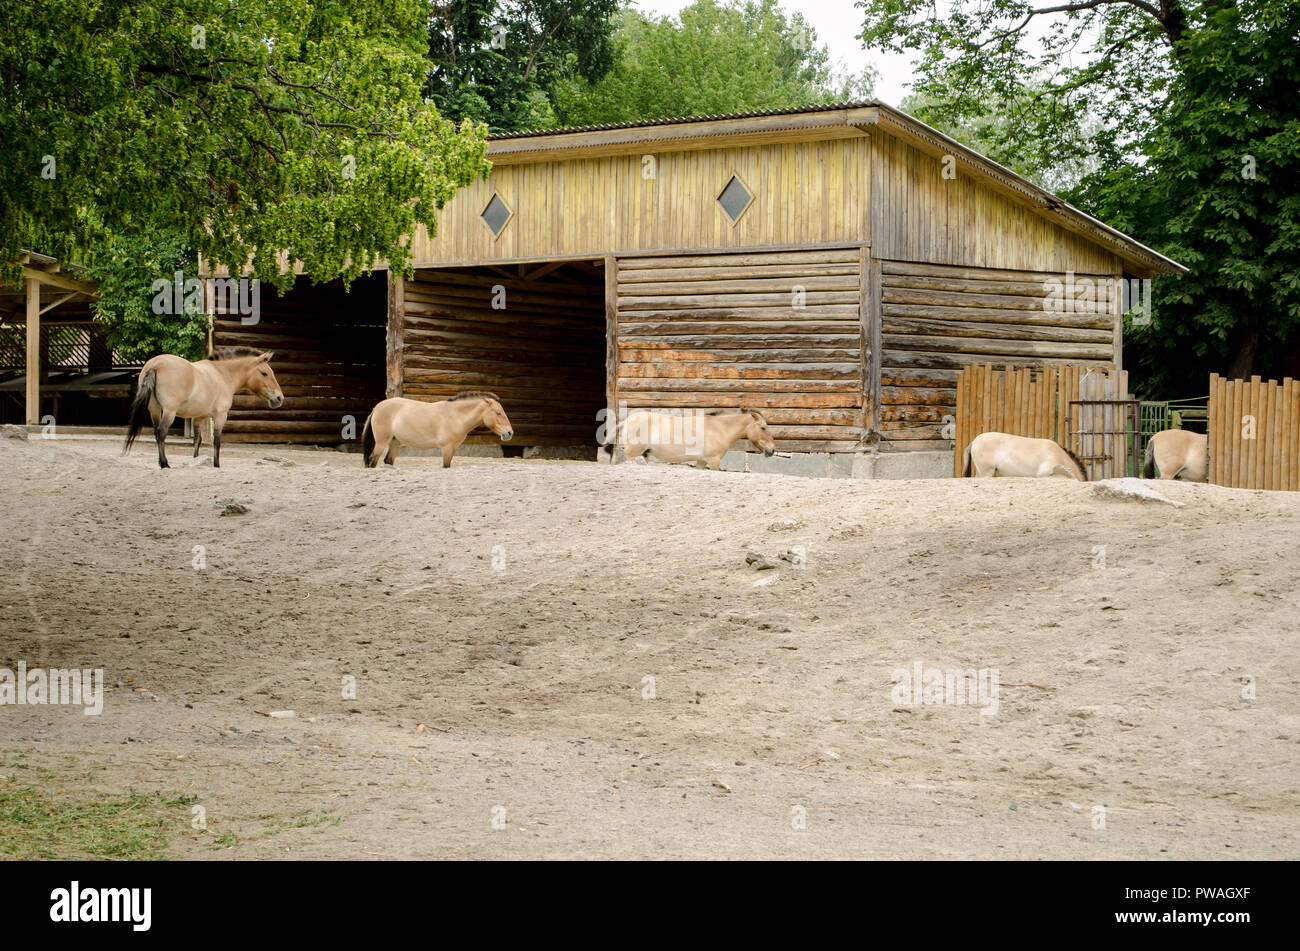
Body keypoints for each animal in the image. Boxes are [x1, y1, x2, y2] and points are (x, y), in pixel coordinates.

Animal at [124, 347, 283, 468]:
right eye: (264, 373)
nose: (279, 398)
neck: (222, 374)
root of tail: (155, 364)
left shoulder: (199, 417)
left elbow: (197, 441)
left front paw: (195, 460)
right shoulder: (220, 416)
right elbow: (217, 441)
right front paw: (216, 464)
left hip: (155, 410)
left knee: (157, 434)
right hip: (169, 411)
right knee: (162, 432)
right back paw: (164, 464)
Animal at [361, 392, 513, 468]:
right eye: (498, 413)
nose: (509, 433)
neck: (455, 415)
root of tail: (376, 408)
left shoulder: (453, 449)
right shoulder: (446, 448)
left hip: (395, 442)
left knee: (388, 461)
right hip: (381, 443)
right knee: (372, 460)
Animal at [605, 408, 777, 470]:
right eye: (763, 428)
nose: (772, 450)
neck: (718, 428)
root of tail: (626, 421)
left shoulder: (701, 461)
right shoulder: (713, 461)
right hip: (633, 454)